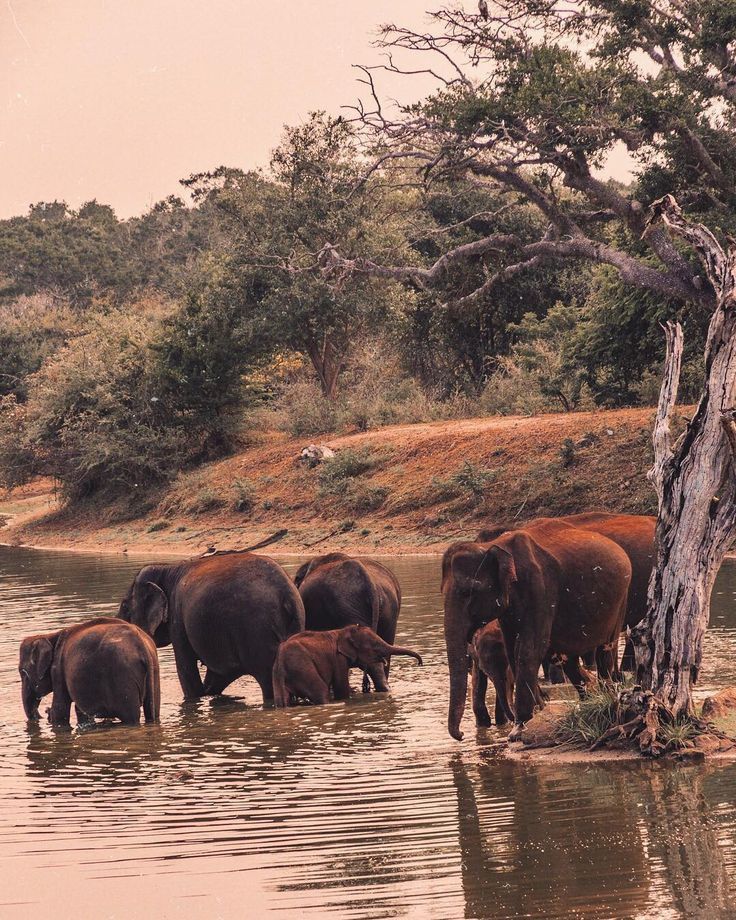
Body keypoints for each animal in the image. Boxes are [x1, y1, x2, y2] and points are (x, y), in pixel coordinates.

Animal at [19, 617, 160, 726]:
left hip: (123, 676)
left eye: (22, 672)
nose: (45, 712)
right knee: (152, 711)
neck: (51, 636)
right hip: (153, 670)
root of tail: (142, 645)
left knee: (131, 717)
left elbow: (60, 710)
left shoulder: (58, 669)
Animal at [118, 551, 305, 703]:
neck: (167, 569)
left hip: (257, 632)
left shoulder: (178, 614)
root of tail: (288, 595)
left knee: (268, 681)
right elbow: (219, 674)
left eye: (125, 606)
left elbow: (186, 668)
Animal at [273, 624, 422, 706]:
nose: (420, 663)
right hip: (303, 669)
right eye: (374, 646)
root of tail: (281, 661)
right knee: (321, 691)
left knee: (281, 700)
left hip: (277, 676)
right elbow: (341, 686)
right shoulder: (339, 658)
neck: (342, 631)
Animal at [443, 519, 632, 740]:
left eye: (467, 592)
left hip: (621, 600)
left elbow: (529, 649)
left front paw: (517, 730)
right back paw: (591, 694)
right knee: (568, 659)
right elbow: (512, 648)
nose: (462, 734)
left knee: (605, 650)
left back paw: (606, 694)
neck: (493, 545)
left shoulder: (540, 588)